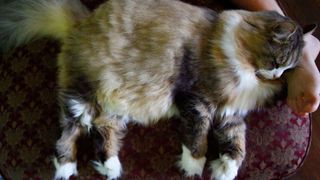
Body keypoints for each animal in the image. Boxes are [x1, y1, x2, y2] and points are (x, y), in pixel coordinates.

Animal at [0, 0, 310, 179]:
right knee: (69, 131)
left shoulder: (230, 114)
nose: (277, 75)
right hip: (83, 98)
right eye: (277, 62)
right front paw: (193, 167)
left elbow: (237, 145)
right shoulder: (197, 100)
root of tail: (81, 22)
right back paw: (67, 168)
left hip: (112, 106)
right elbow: (198, 138)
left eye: (288, 69)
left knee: (103, 131)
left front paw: (225, 170)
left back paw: (110, 167)